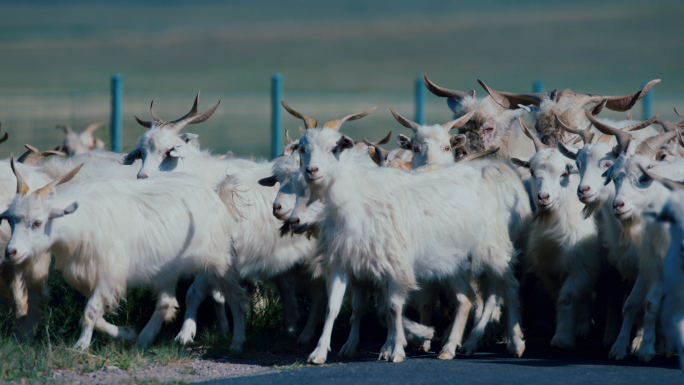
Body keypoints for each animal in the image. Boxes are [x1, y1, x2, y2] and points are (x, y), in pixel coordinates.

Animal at [0, 158, 246, 350]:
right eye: (10, 220)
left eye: (37, 222)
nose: (11, 252)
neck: (79, 220)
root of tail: (213, 193)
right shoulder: (89, 274)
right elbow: (96, 313)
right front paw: (127, 334)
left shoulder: (111, 274)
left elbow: (90, 311)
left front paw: (80, 346)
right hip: (167, 268)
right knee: (166, 302)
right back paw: (143, 340)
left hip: (217, 258)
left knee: (235, 295)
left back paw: (237, 342)